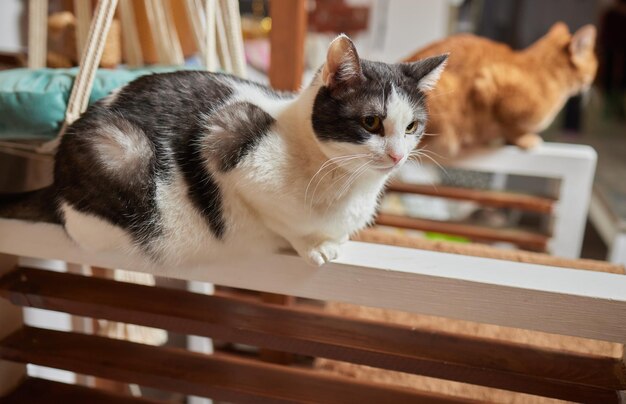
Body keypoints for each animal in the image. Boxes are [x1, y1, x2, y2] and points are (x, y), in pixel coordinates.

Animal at [1, 35, 448, 268]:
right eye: (371, 122)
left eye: (412, 127)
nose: (397, 156)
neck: (348, 187)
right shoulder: (226, 136)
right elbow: (281, 221)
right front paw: (314, 246)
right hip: (120, 149)